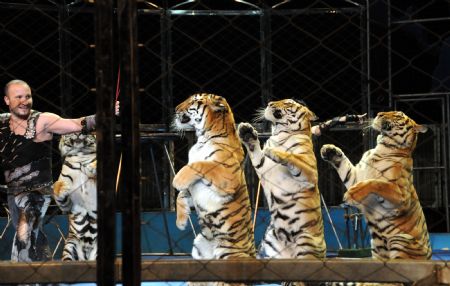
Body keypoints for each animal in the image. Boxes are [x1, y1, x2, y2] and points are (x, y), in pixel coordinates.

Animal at [53, 132, 97, 262]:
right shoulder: (67, 206)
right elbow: (58, 186)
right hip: (70, 244)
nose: (78, 132)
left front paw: (92, 167)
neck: (80, 156)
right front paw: (62, 187)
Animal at [237, 99, 326, 260]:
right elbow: (256, 153)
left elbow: (294, 158)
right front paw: (246, 132)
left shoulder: (310, 171)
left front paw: (275, 152)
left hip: (306, 247)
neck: (281, 134)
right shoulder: (264, 166)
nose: (270, 103)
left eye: (288, 103)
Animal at [320, 110, 432, 262]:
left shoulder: (401, 198)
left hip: (400, 241)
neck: (382, 148)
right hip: (377, 249)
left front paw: (352, 194)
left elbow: (378, 183)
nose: (379, 113)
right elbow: (346, 167)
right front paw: (330, 150)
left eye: (398, 115)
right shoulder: (356, 177)